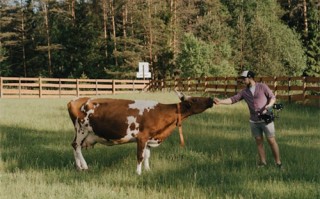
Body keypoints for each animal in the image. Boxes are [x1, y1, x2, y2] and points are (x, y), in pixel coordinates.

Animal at [67, 91, 212, 175]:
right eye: (195, 100)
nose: (211, 99)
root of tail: (76, 99)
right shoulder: (142, 137)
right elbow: (140, 156)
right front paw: (138, 172)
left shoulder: (149, 139)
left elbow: (147, 156)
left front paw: (148, 170)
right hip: (81, 129)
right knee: (76, 146)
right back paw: (85, 166)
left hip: (83, 133)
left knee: (74, 147)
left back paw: (78, 167)